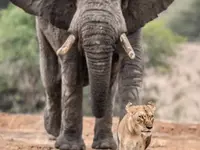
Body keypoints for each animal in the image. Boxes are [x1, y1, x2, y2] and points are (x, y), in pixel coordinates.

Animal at [9, 0, 173, 149]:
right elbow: (72, 69)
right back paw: (53, 131)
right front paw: (69, 146)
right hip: (41, 27)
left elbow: (131, 68)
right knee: (52, 79)